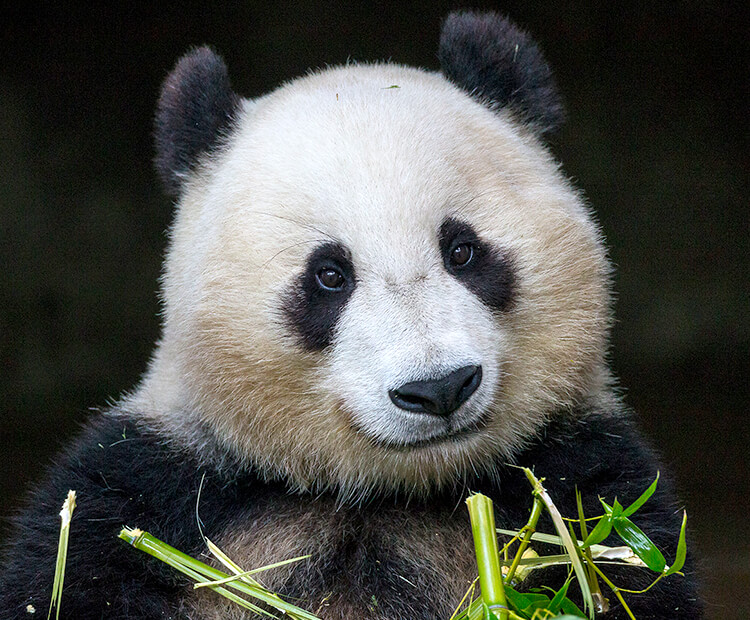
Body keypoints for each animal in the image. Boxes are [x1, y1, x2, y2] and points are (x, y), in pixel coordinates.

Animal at [0, 9, 704, 620]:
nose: (438, 389)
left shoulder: (590, 481)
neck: (383, 495)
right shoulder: (152, 489)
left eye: (463, 250)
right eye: (329, 276)